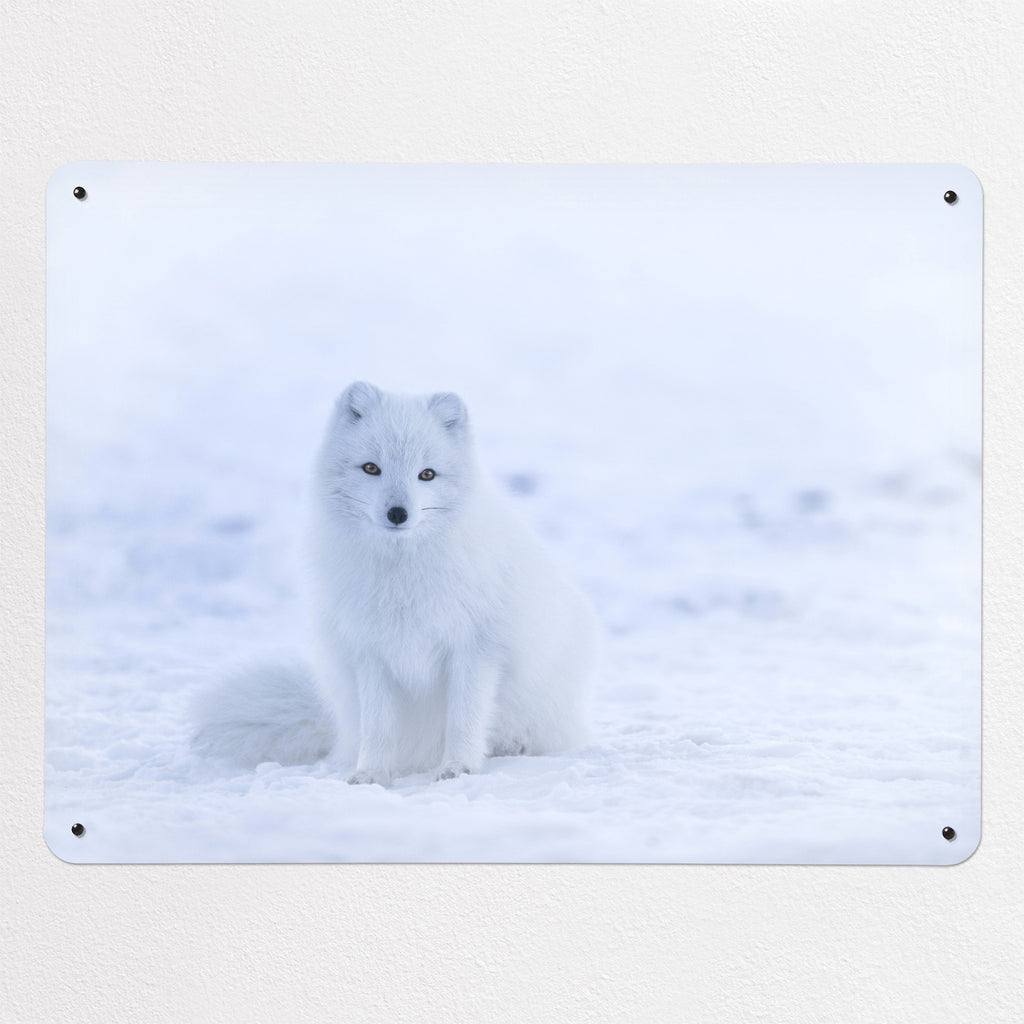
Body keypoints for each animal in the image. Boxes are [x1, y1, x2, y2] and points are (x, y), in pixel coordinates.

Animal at [192, 382, 599, 785]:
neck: (403, 574)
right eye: (371, 468)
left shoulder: (475, 648)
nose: (398, 513)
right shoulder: (371, 652)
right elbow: (378, 727)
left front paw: (459, 767)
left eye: (427, 474)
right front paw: (371, 773)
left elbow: (464, 719)